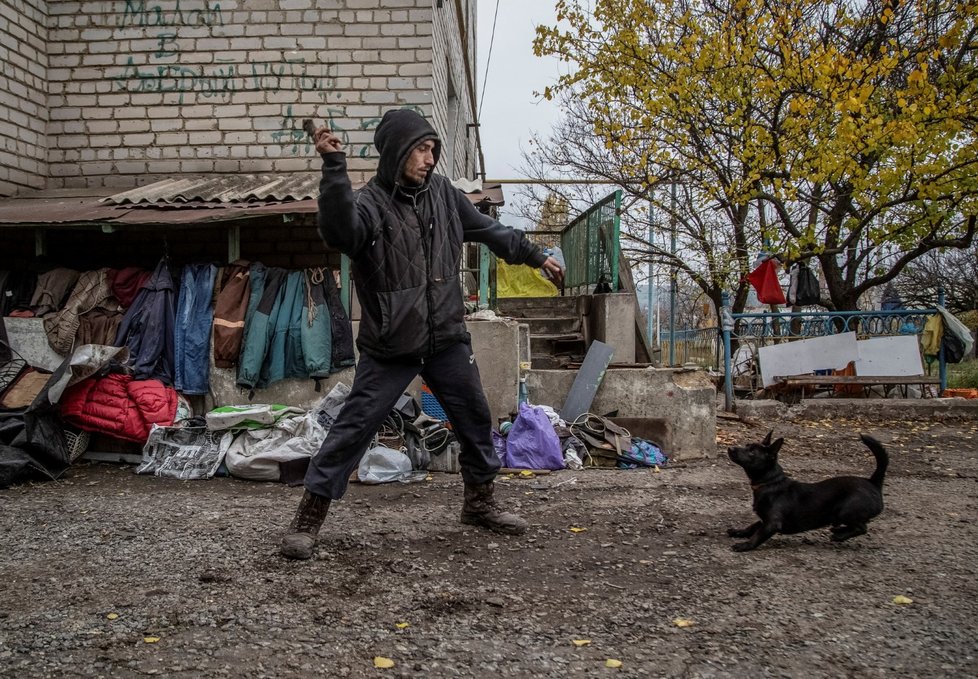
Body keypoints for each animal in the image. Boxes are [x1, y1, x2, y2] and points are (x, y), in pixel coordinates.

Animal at [724, 432, 884, 548]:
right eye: (746, 445)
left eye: (752, 452)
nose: (730, 448)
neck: (771, 483)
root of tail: (872, 483)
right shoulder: (764, 520)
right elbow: (753, 526)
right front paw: (739, 532)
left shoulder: (772, 523)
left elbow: (758, 534)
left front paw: (745, 545)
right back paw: (838, 530)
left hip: (845, 511)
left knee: (862, 527)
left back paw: (839, 535)